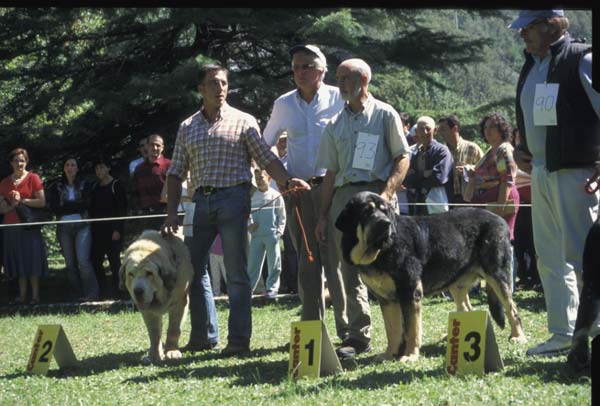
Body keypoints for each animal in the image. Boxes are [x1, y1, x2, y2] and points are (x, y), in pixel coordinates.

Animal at [336, 192, 528, 364]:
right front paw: (389, 354)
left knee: (512, 309)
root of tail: (500, 219)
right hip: (456, 285)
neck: (381, 252)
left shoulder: (410, 292)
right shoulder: (386, 300)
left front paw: (410, 355)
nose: (386, 223)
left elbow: (412, 330)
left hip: (497, 276)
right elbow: (393, 331)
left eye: (384, 211)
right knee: (467, 309)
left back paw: (518, 337)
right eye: (367, 211)